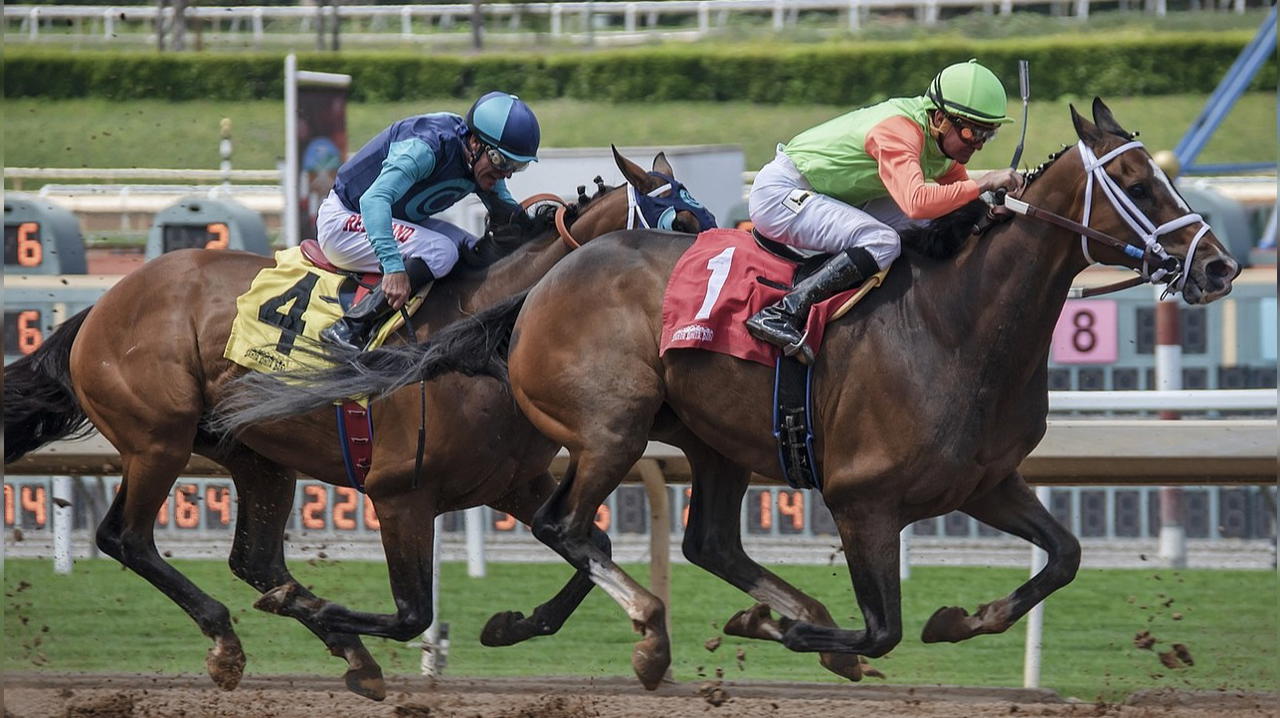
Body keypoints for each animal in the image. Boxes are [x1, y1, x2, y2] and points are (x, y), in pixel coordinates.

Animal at [2, 147, 711, 701]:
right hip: (157, 439)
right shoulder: (399, 495)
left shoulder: (511, 483)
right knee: (126, 538)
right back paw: (231, 638)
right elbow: (413, 613)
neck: (476, 337)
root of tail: (103, 305)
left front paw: (516, 626)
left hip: (256, 455)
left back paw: (338, 647)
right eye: (681, 220)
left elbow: (591, 544)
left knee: (255, 559)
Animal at [267, 97, 1239, 686]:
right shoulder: (862, 500)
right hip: (612, 428)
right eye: (1140, 181)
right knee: (566, 525)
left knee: (687, 540)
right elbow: (879, 628)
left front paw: (961, 619)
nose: (1220, 267)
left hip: (710, 443)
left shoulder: (987, 482)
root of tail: (539, 286)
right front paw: (779, 631)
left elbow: (1063, 557)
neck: (957, 327)